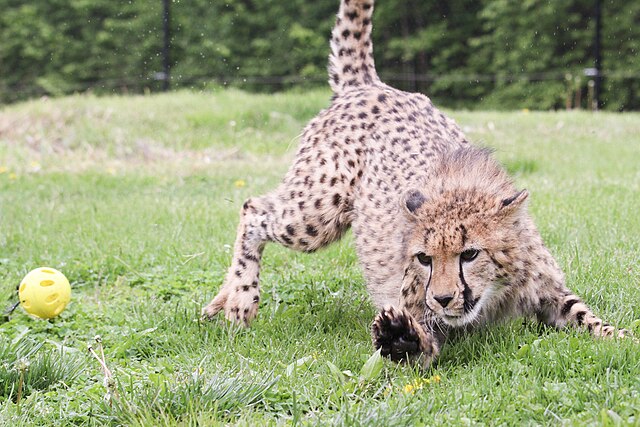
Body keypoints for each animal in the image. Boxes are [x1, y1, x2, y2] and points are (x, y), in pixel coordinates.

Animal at [204, 0, 632, 368]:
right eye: (424, 258)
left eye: (470, 254)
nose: (442, 298)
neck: (493, 296)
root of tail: (372, 85)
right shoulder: (417, 306)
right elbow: (423, 342)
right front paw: (402, 339)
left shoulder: (548, 290)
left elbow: (586, 315)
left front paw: (620, 337)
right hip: (317, 211)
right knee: (253, 209)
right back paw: (240, 304)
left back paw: (219, 303)